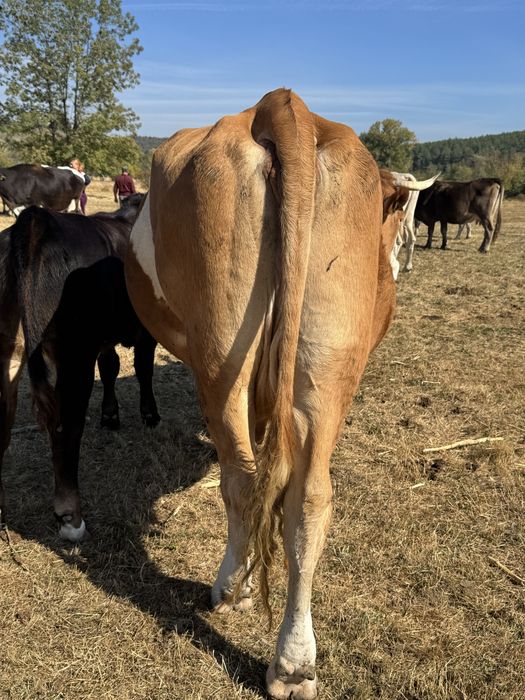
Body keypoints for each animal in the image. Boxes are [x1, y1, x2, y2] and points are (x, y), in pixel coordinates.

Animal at [0, 195, 160, 542]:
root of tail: (38, 221)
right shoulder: (146, 331)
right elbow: (143, 368)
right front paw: (149, 415)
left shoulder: (105, 339)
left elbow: (111, 366)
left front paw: (110, 416)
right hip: (74, 357)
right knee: (67, 427)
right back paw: (71, 516)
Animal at [125, 88, 429, 699]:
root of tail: (282, 106)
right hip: (327, 363)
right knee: (308, 498)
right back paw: (293, 661)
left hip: (224, 359)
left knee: (246, 481)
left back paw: (235, 590)